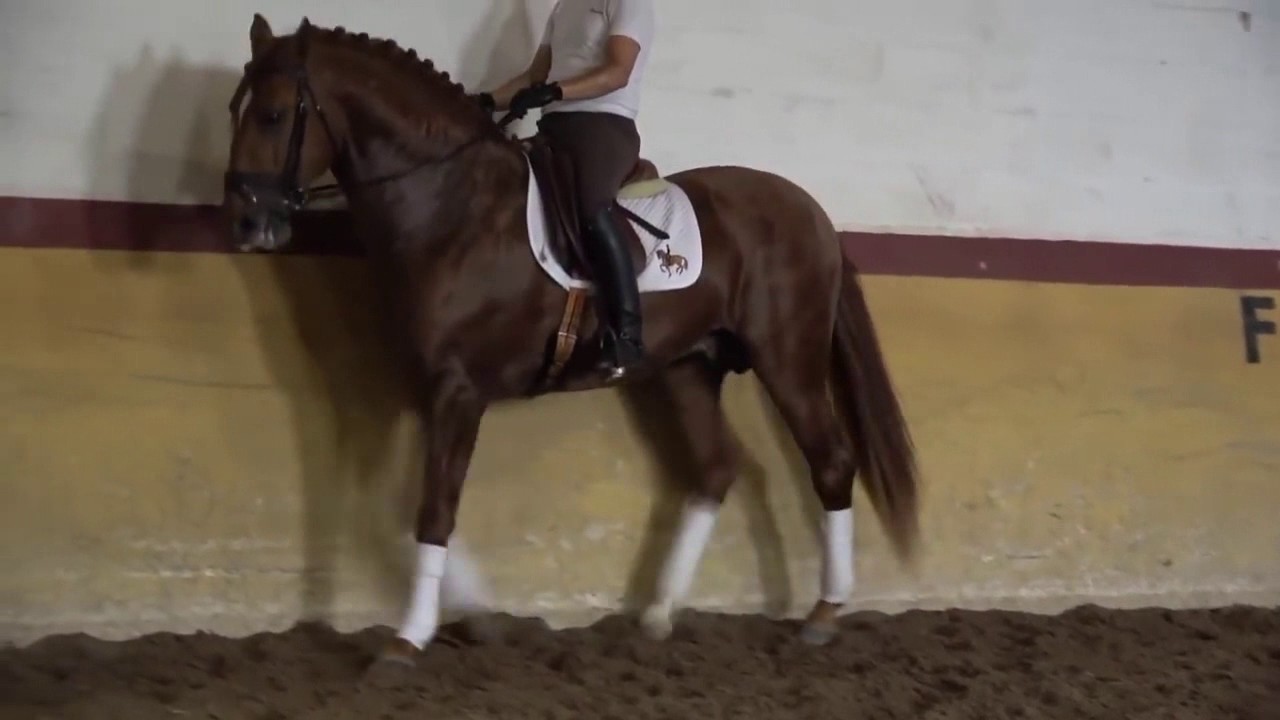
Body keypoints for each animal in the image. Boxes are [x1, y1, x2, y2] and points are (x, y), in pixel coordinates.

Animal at [222, 15, 920, 667]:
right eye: (234, 109)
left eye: (274, 114)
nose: (246, 223)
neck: (451, 208)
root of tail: (812, 213)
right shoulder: (424, 388)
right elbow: (401, 502)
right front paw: (479, 612)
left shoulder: (459, 390)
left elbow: (434, 508)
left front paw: (408, 637)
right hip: (686, 367)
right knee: (718, 467)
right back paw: (659, 613)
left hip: (788, 360)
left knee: (830, 461)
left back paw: (824, 612)